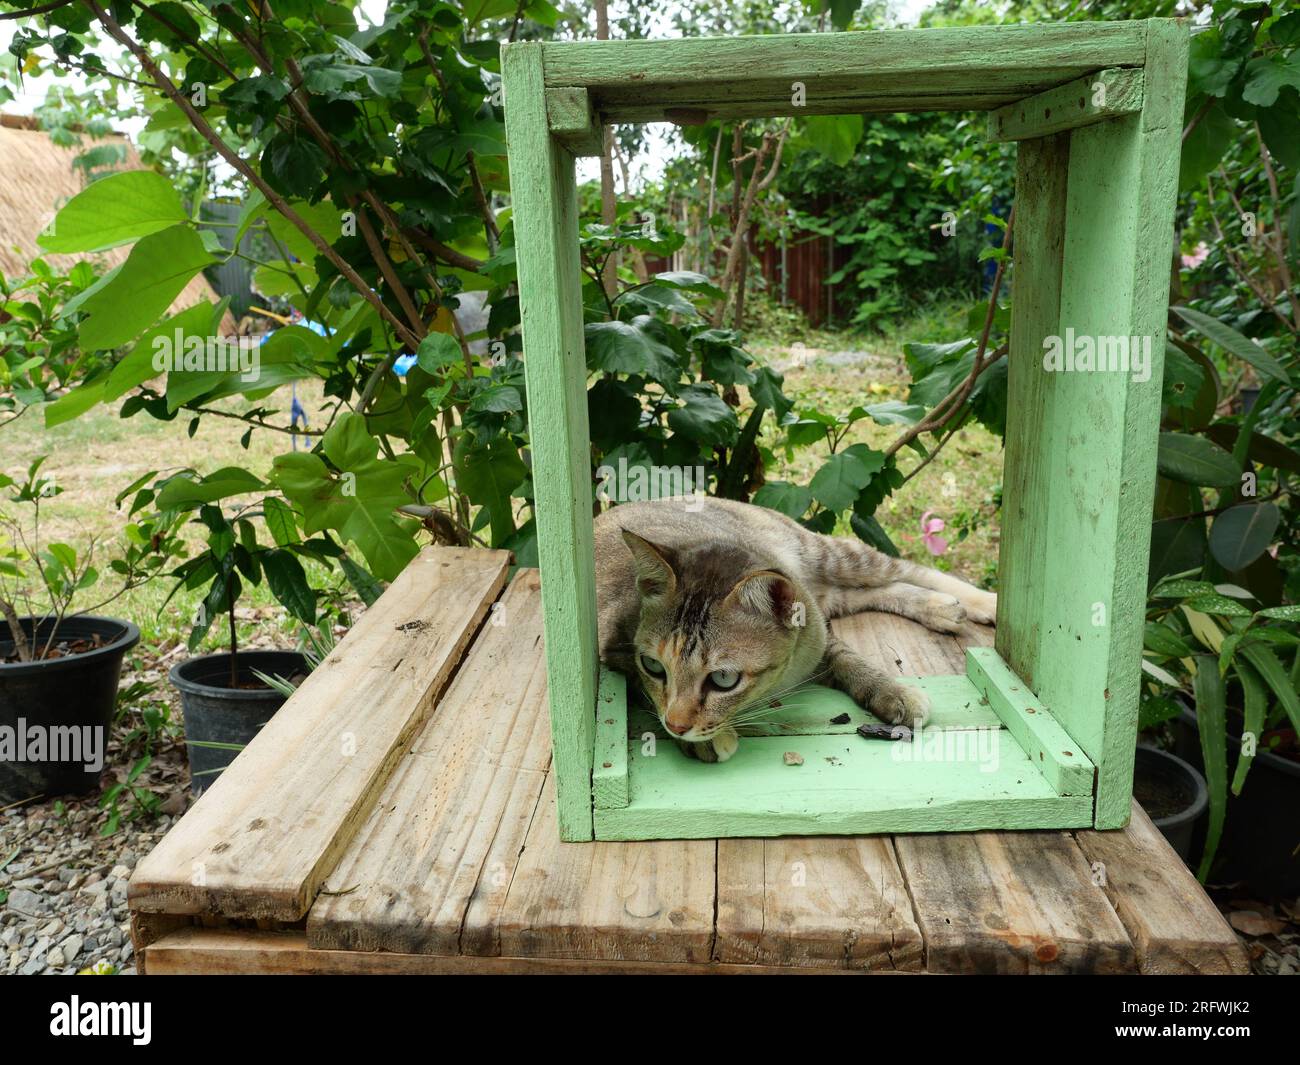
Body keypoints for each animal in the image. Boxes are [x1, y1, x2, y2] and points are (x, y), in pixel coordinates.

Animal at [595, 496, 993, 764]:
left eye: (723, 679)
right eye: (654, 667)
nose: (677, 727)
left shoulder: (818, 636)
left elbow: (848, 657)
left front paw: (891, 689)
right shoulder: (614, 652)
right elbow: (642, 691)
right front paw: (703, 739)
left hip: (828, 555)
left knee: (904, 568)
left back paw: (980, 601)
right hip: (827, 590)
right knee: (871, 591)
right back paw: (939, 607)